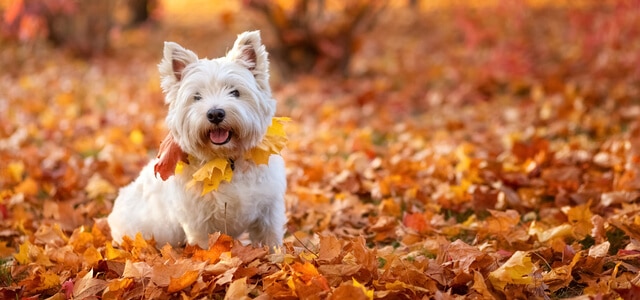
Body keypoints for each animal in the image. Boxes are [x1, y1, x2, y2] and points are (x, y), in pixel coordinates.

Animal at [109, 31, 286, 248]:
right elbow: (204, 249)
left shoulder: (269, 209)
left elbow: (271, 241)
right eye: (197, 97)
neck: (226, 161)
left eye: (235, 92)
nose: (215, 114)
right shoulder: (198, 222)